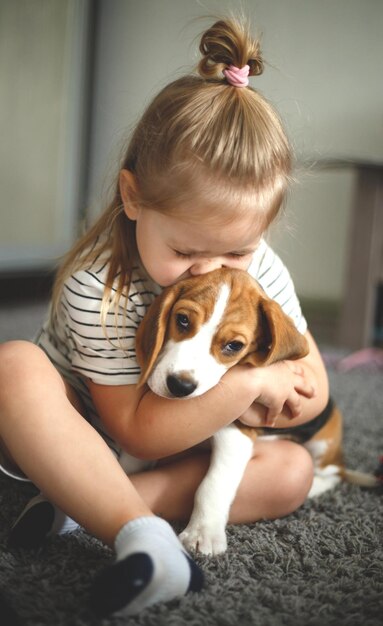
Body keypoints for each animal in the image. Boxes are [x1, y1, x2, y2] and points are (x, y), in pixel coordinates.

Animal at [134, 266, 380, 552]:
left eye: (234, 346)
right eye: (182, 320)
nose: (180, 385)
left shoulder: (235, 436)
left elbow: (212, 485)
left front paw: (201, 533)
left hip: (322, 446)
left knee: (332, 474)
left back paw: (313, 486)